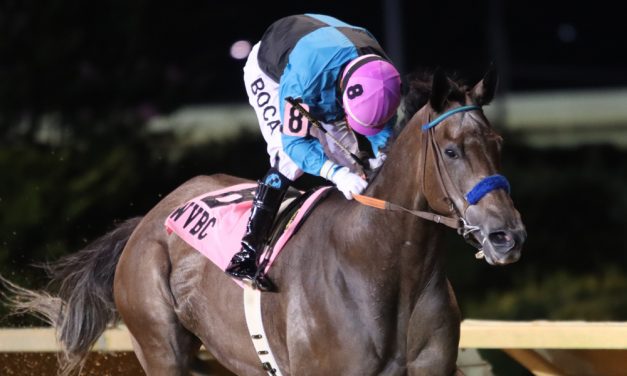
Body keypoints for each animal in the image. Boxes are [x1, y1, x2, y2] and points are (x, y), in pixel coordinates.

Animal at [2, 66, 528, 374]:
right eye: (452, 151)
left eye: (498, 143)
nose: (507, 235)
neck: (387, 266)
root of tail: (147, 221)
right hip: (158, 343)